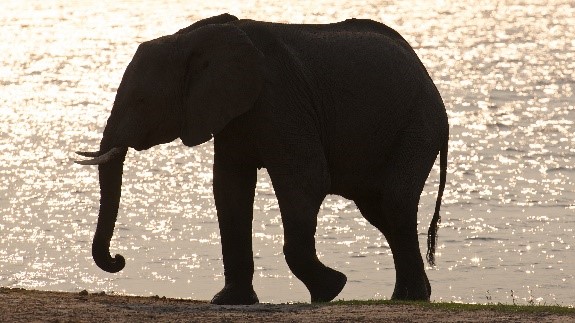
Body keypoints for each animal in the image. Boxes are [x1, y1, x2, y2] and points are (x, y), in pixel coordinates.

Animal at [74, 13, 448, 306]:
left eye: (140, 100)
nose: (119, 259)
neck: (193, 39)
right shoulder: (229, 113)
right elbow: (229, 188)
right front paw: (228, 301)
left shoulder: (281, 103)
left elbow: (306, 181)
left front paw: (331, 289)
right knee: (379, 211)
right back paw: (411, 297)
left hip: (418, 126)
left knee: (394, 204)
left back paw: (409, 297)